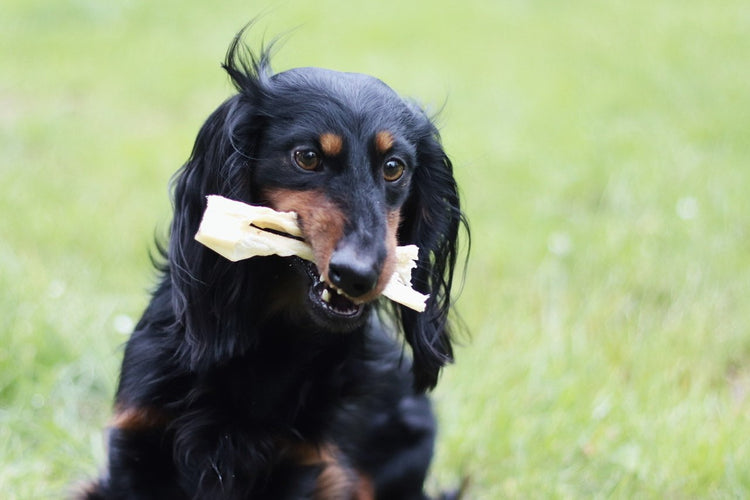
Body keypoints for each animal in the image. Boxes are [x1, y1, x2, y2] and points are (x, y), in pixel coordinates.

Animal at [83, 31, 470, 500]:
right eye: (307, 157)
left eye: (394, 167)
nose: (358, 275)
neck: (268, 338)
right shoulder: (137, 443)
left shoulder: (302, 464)